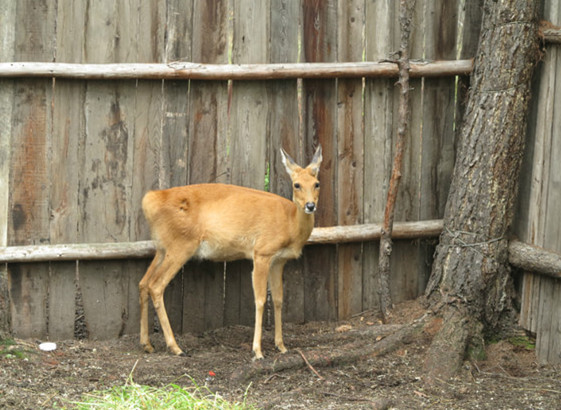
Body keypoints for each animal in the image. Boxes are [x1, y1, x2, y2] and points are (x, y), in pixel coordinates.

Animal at [139, 145, 324, 358]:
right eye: (297, 184)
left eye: (317, 183)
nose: (310, 205)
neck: (290, 223)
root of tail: (150, 201)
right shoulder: (262, 252)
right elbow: (260, 300)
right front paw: (257, 350)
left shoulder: (279, 260)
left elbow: (278, 299)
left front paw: (282, 346)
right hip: (180, 245)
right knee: (156, 286)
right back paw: (175, 347)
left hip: (163, 247)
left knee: (143, 283)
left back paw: (147, 344)